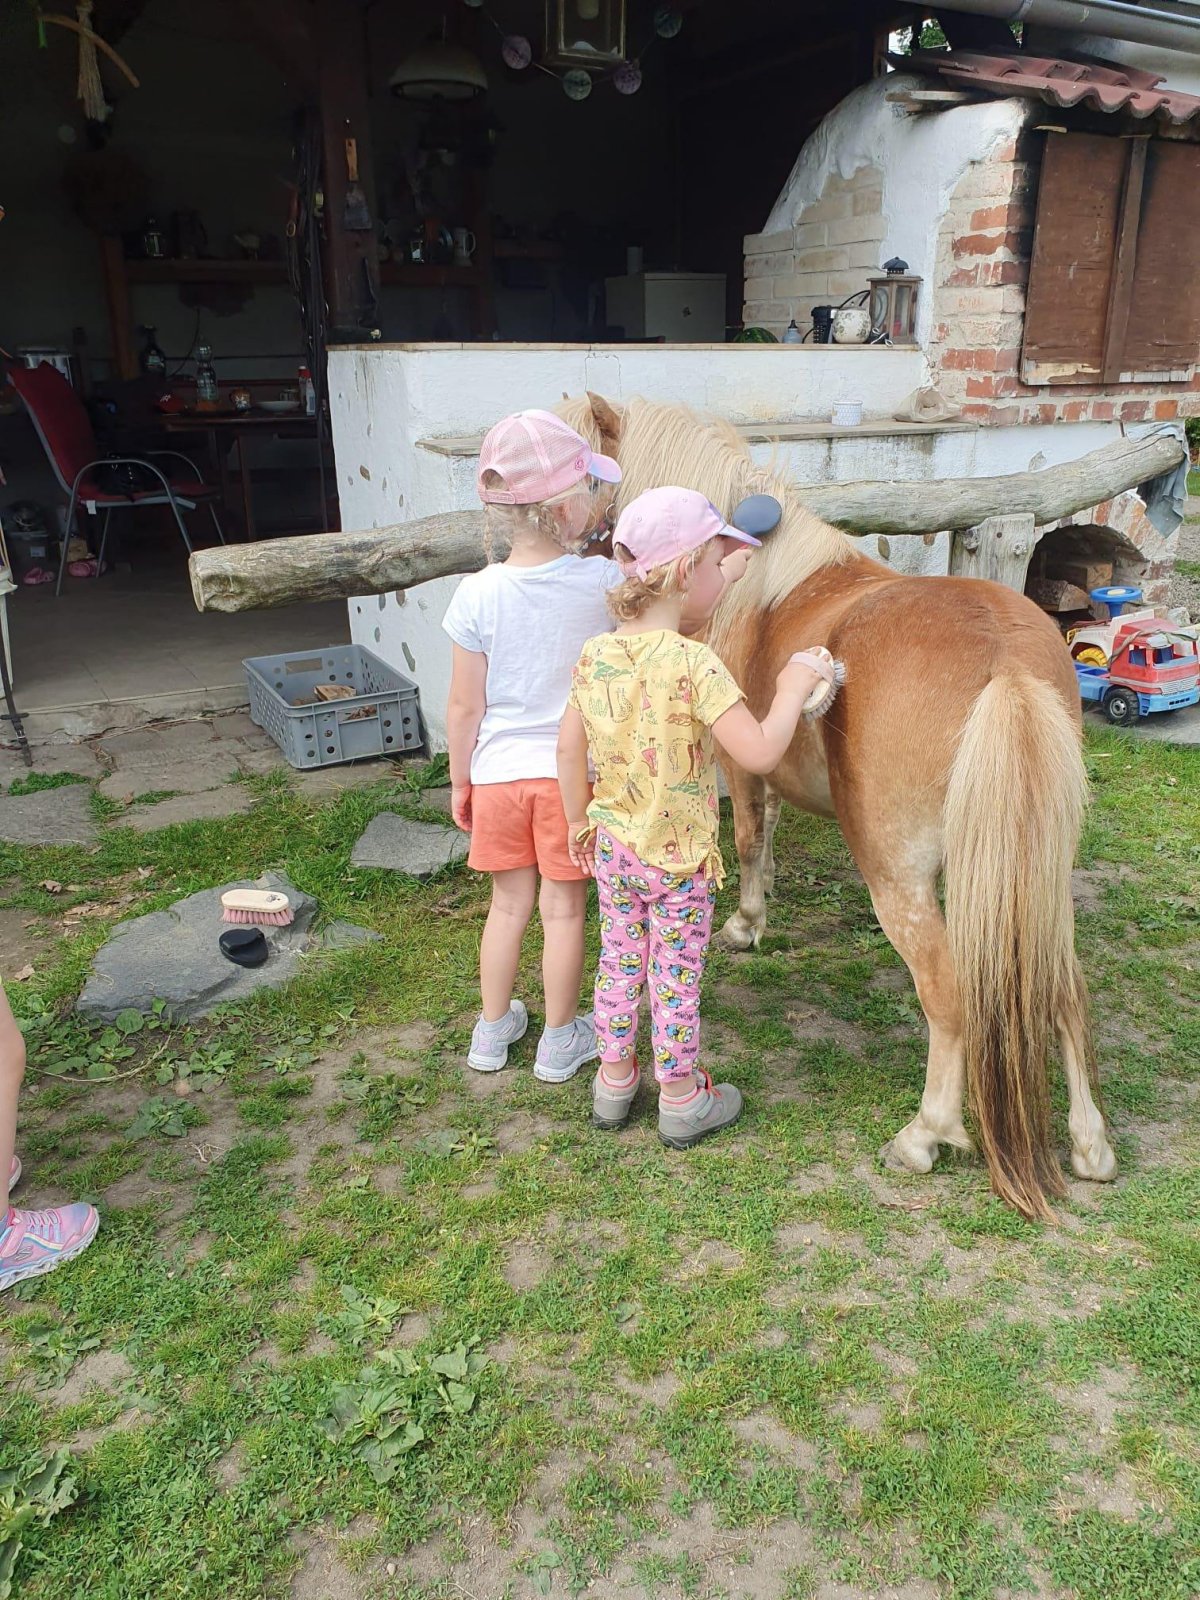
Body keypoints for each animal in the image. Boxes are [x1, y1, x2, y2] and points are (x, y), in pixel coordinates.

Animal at [559, 392, 1116, 1222]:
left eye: (590, 467)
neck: (758, 584)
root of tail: (1007, 664)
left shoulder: (740, 766)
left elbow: (751, 840)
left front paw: (747, 924)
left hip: (899, 882)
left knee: (948, 994)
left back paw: (925, 1135)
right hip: (1038, 880)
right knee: (1063, 988)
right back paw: (1090, 1145)